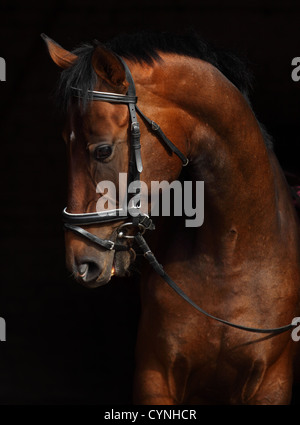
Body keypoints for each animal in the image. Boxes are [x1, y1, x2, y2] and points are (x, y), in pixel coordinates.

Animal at [42, 32, 300, 404]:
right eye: (65, 142)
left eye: (103, 150)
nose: (82, 263)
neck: (232, 253)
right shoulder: (156, 377)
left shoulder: (271, 383)